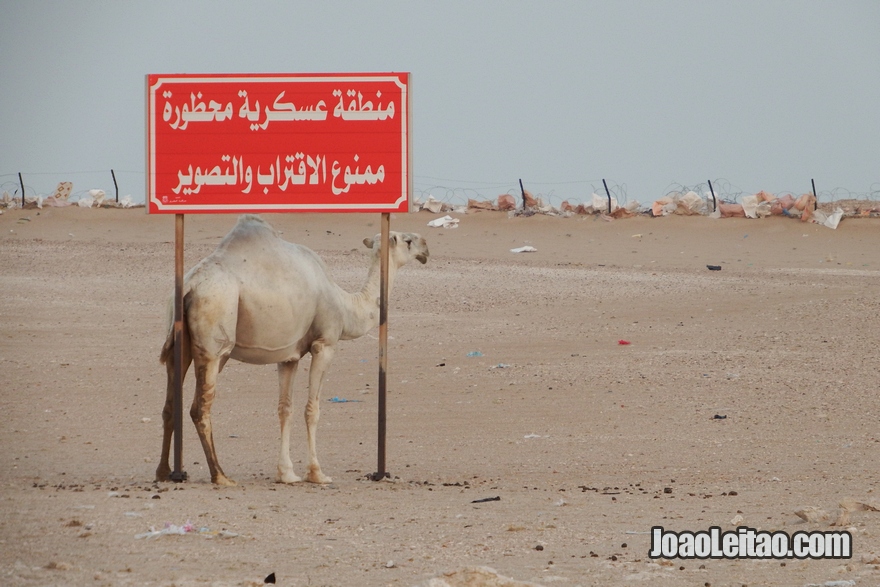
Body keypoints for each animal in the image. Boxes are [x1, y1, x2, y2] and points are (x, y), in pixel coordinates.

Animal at [156, 216, 432, 486]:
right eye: (407, 240)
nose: (426, 246)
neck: (345, 305)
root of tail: (190, 285)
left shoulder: (288, 356)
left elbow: (284, 409)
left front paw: (286, 474)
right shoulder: (325, 344)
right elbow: (312, 409)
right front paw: (317, 474)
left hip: (179, 340)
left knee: (170, 403)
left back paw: (164, 471)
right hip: (214, 338)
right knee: (200, 407)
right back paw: (220, 476)